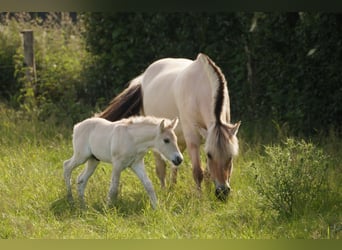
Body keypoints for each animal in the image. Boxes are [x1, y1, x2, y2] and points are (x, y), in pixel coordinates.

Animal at [100, 53, 242, 201]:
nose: (222, 192)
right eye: (209, 155)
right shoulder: (193, 140)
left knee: (175, 165)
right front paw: (201, 199)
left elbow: (208, 172)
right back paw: (164, 191)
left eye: (231, 156)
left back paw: (172, 188)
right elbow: (198, 172)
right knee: (161, 167)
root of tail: (143, 78)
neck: (200, 89)